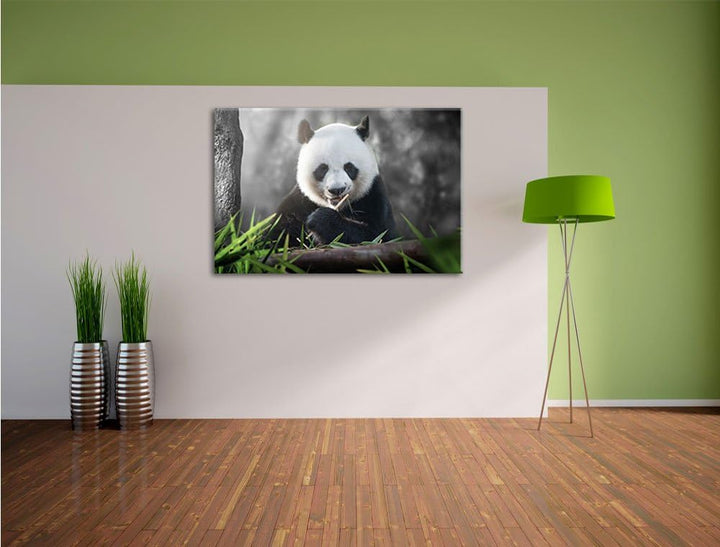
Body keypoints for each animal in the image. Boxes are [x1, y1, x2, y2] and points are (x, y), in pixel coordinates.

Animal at [273, 116, 397, 246]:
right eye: (323, 168)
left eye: (349, 167)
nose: (337, 190)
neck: (338, 207)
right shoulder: (300, 203)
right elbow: (278, 233)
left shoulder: (372, 196)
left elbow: (378, 236)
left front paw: (320, 220)